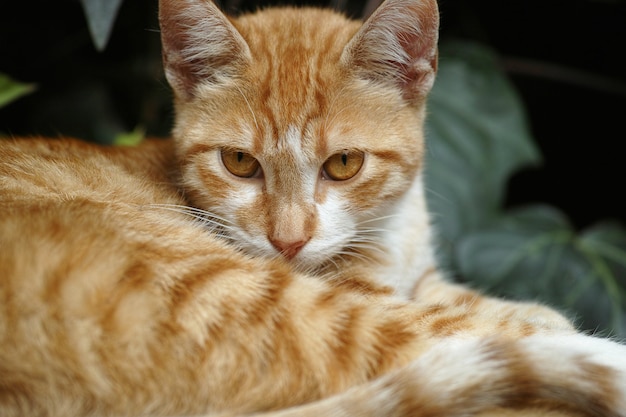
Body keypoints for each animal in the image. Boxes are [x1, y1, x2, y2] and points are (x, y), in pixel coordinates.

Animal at [1, 0, 624, 416]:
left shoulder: (423, 277)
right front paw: (543, 319)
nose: (288, 241)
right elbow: (467, 319)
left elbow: (469, 299)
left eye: (344, 163)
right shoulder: (357, 296)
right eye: (240, 162)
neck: (390, 234)